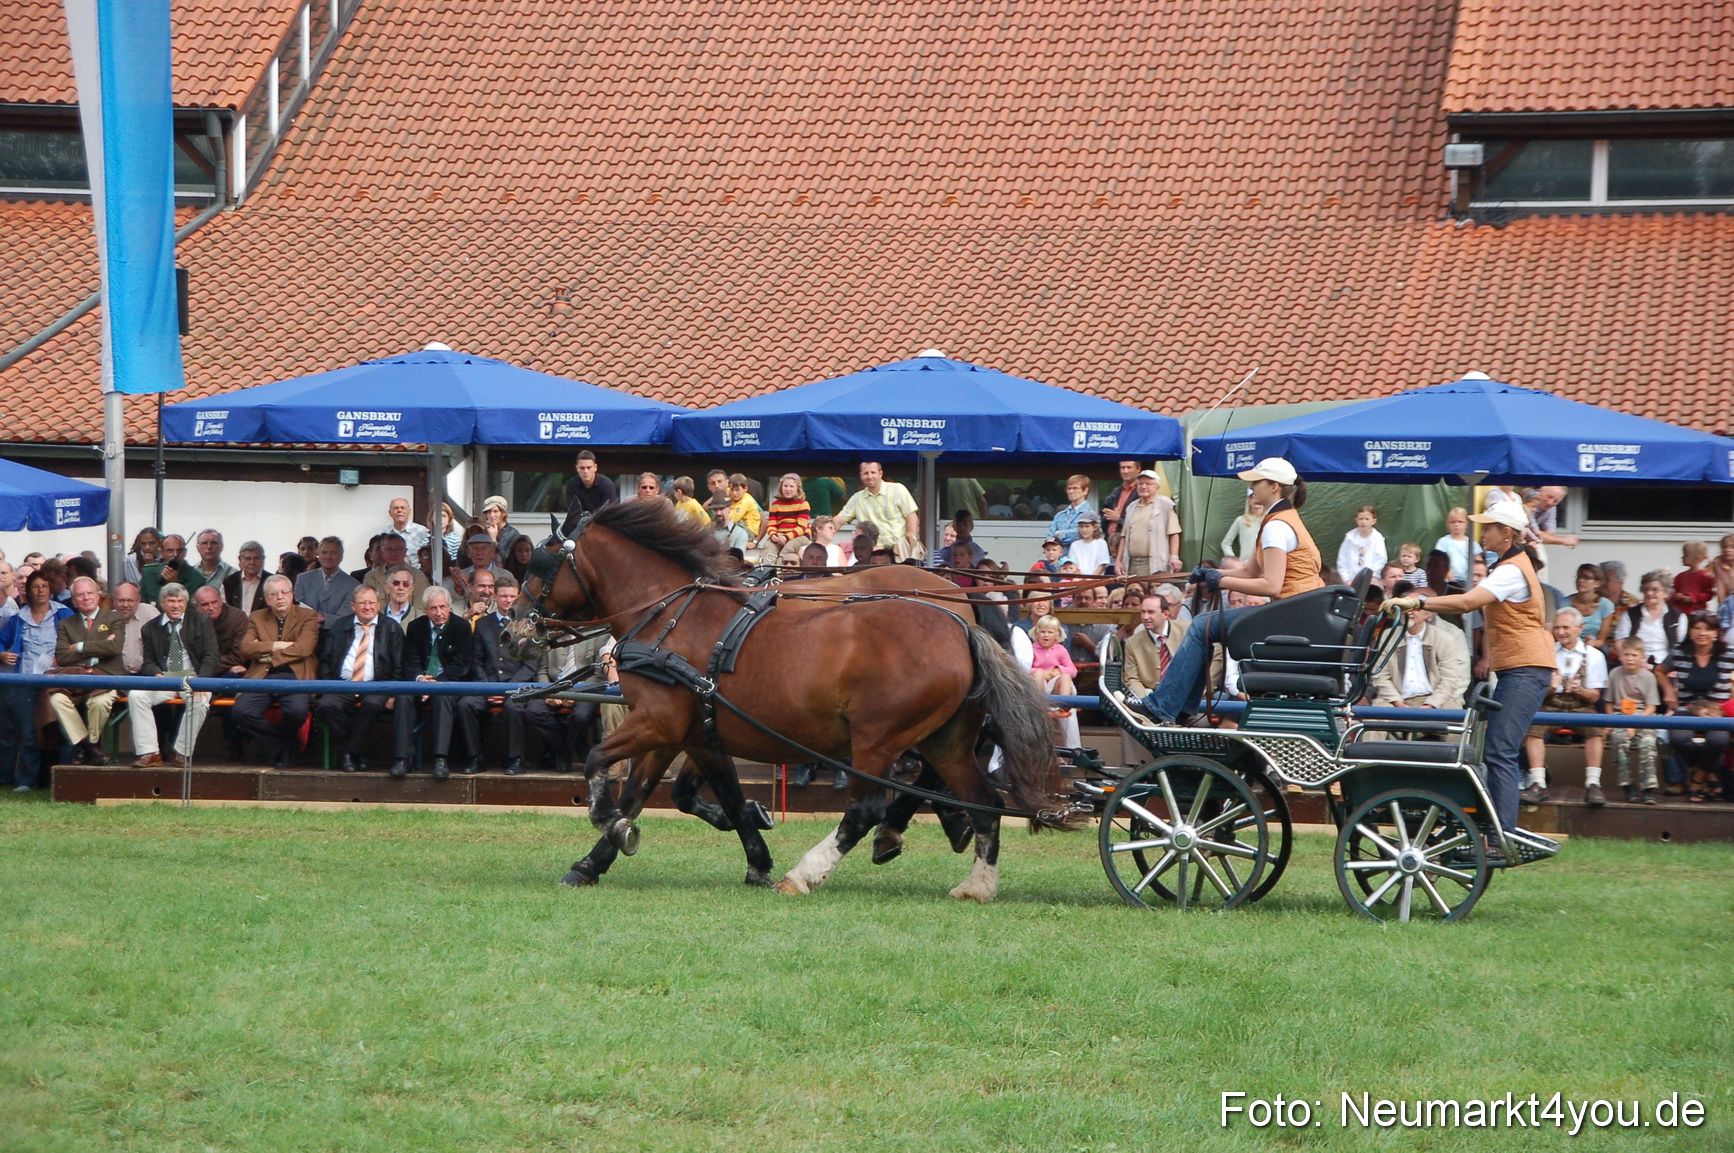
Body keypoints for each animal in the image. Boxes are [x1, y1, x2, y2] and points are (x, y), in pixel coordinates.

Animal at [525, 500, 1067, 900]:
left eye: (539, 565)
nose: (517, 628)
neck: (670, 616)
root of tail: (962, 625)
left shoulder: (657, 721)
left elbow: (600, 764)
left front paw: (610, 827)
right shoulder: (686, 732)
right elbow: (671, 794)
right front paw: (594, 862)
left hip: (878, 738)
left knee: (867, 808)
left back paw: (807, 872)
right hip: (945, 739)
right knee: (983, 802)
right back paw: (976, 882)